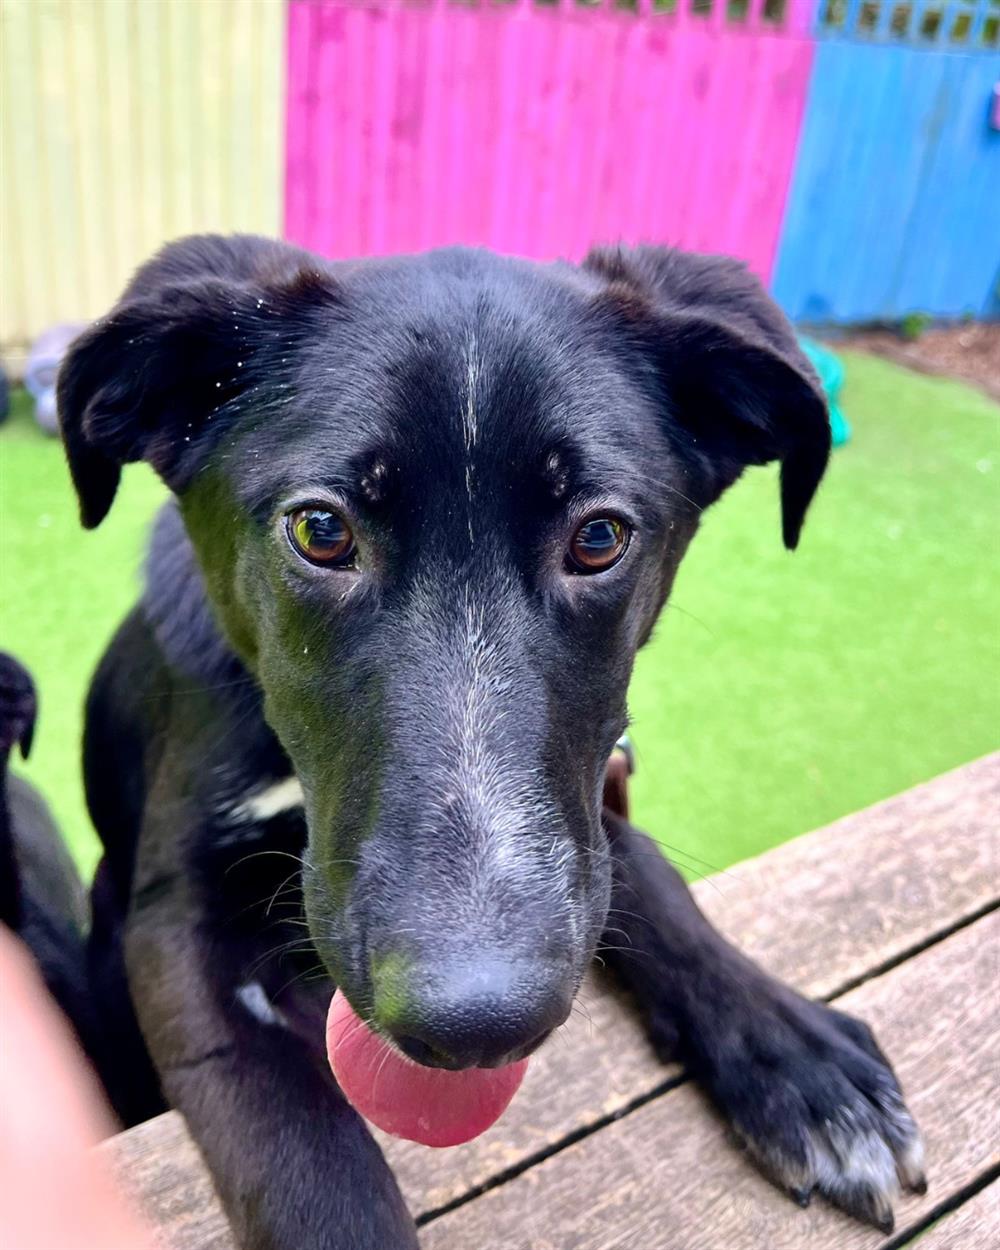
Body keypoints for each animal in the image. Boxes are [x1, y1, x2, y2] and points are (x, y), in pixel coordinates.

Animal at [58, 235, 924, 1248]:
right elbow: (304, 1148)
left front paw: (797, 1055)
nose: (477, 1025)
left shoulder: (584, 808)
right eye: (320, 529)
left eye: (599, 537)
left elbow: (653, 884)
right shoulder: (175, 923)